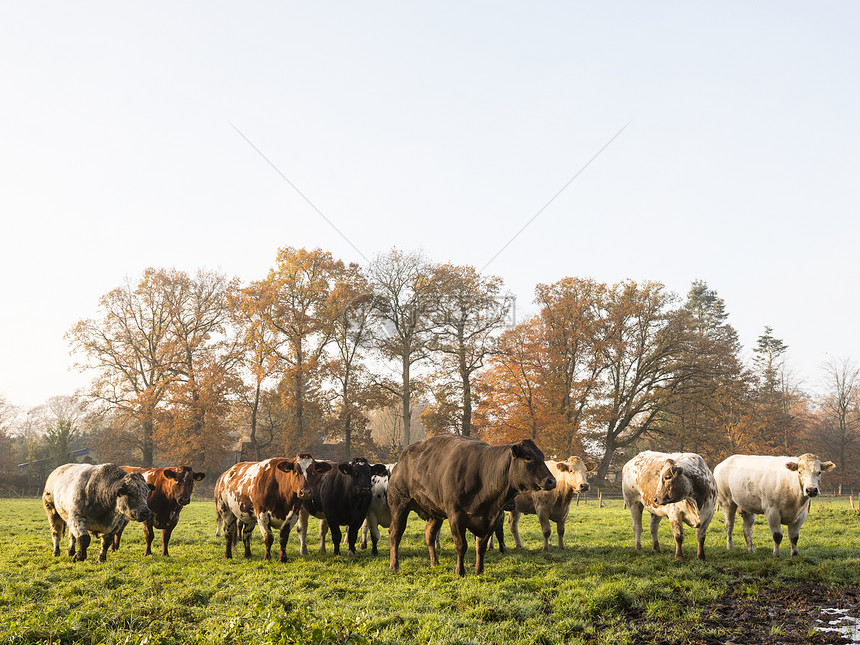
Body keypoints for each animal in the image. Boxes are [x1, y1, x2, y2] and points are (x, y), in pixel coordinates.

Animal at [386, 436, 556, 576]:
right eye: (528, 457)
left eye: (542, 457)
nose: (552, 481)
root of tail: (401, 460)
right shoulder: (456, 516)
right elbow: (461, 545)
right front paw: (459, 571)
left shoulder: (493, 519)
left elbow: (481, 546)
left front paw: (479, 570)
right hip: (399, 505)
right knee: (395, 534)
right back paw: (394, 565)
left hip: (435, 513)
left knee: (429, 534)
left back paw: (435, 563)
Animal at [712, 450, 840, 556]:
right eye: (799, 472)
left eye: (819, 472)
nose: (811, 490)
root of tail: (723, 462)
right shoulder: (771, 511)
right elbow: (777, 535)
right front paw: (776, 555)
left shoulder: (801, 515)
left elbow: (794, 537)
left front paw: (794, 555)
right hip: (727, 502)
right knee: (729, 526)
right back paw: (730, 547)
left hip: (747, 506)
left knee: (747, 528)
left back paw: (751, 549)